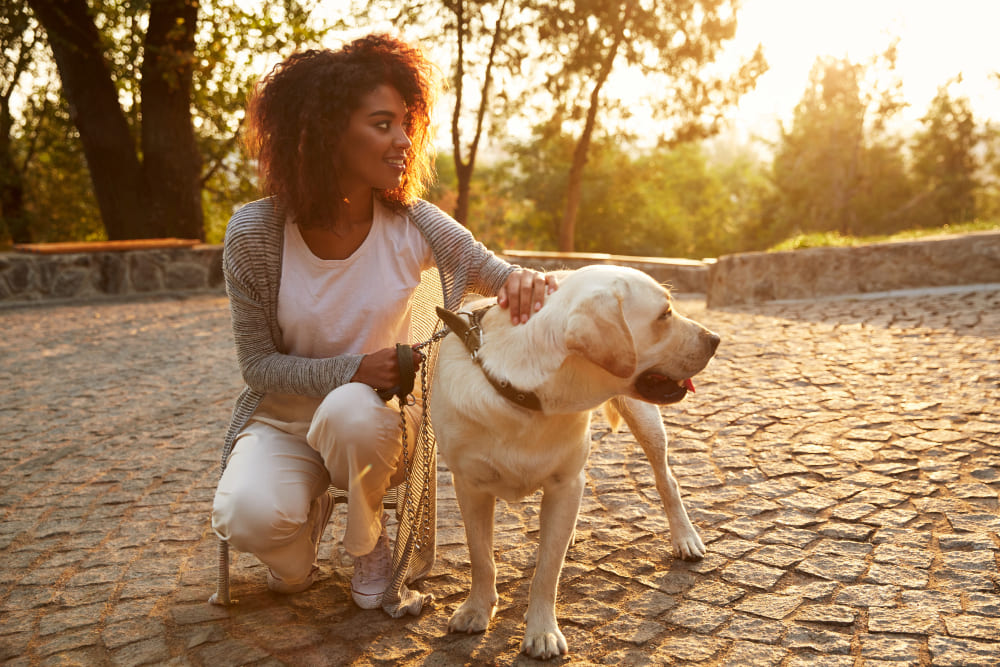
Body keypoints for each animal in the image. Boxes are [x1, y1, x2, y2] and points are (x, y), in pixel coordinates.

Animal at [430, 264, 720, 656]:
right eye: (665, 314)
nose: (716, 339)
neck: (528, 396)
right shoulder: (470, 485)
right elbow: (481, 556)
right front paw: (476, 609)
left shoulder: (564, 484)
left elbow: (547, 572)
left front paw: (542, 630)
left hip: (646, 422)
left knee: (666, 481)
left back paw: (685, 537)